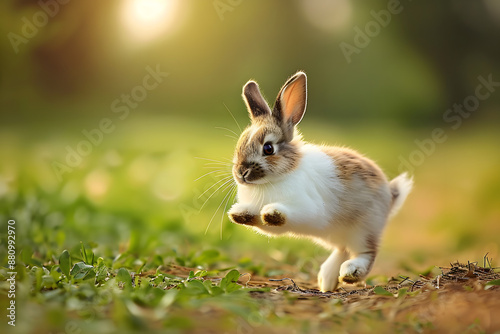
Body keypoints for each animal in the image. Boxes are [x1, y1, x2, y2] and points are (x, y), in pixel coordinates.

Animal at [228, 71, 414, 292]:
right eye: (239, 144)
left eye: (268, 148)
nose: (241, 173)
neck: (279, 177)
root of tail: (390, 194)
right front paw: (239, 214)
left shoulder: (309, 207)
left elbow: (285, 215)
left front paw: (272, 212)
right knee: (342, 249)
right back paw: (327, 280)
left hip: (365, 228)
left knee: (367, 252)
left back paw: (351, 272)